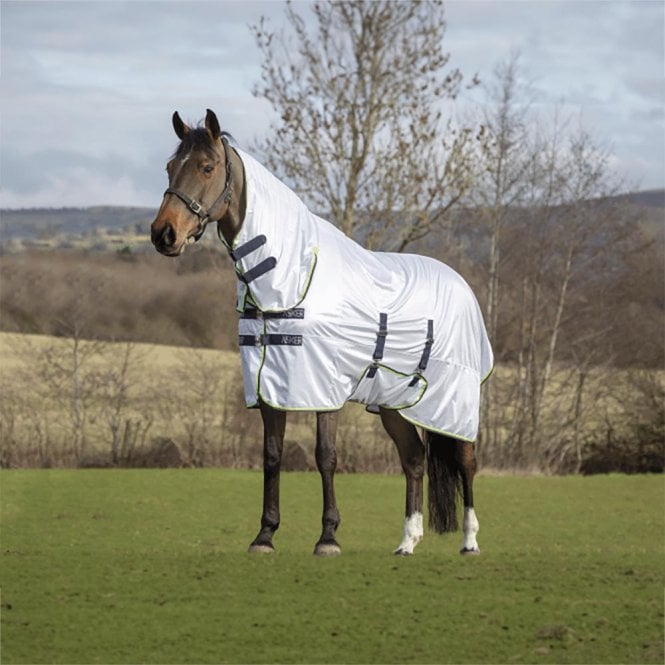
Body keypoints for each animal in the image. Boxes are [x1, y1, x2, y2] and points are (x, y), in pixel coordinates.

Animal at [151, 109, 493, 556]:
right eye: (171, 167)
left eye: (207, 167)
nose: (164, 234)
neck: (292, 274)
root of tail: (462, 285)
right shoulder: (268, 384)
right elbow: (272, 455)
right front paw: (265, 536)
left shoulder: (324, 385)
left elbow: (325, 455)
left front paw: (328, 537)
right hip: (394, 403)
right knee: (414, 460)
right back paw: (407, 542)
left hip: (456, 400)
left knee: (466, 461)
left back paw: (470, 541)